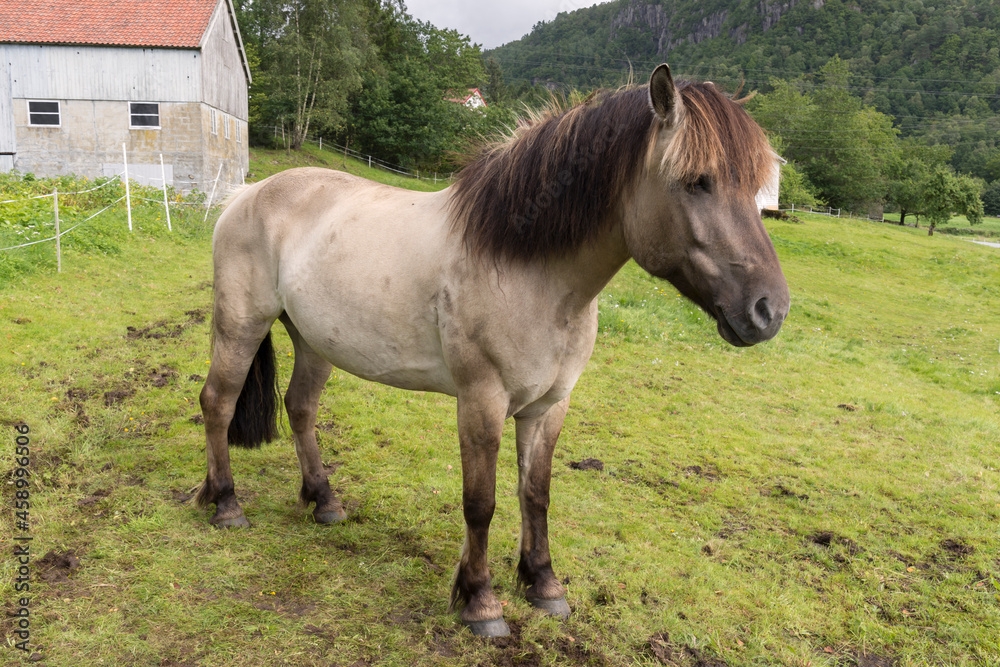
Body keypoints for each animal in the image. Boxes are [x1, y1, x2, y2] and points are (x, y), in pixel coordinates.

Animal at [195, 65, 788, 640]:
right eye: (696, 182)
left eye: (757, 189)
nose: (770, 311)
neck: (530, 269)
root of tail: (247, 194)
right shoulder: (481, 401)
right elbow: (480, 503)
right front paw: (480, 602)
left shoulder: (549, 406)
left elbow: (536, 493)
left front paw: (543, 584)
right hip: (241, 326)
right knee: (217, 402)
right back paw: (225, 504)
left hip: (314, 339)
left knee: (300, 408)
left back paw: (324, 501)